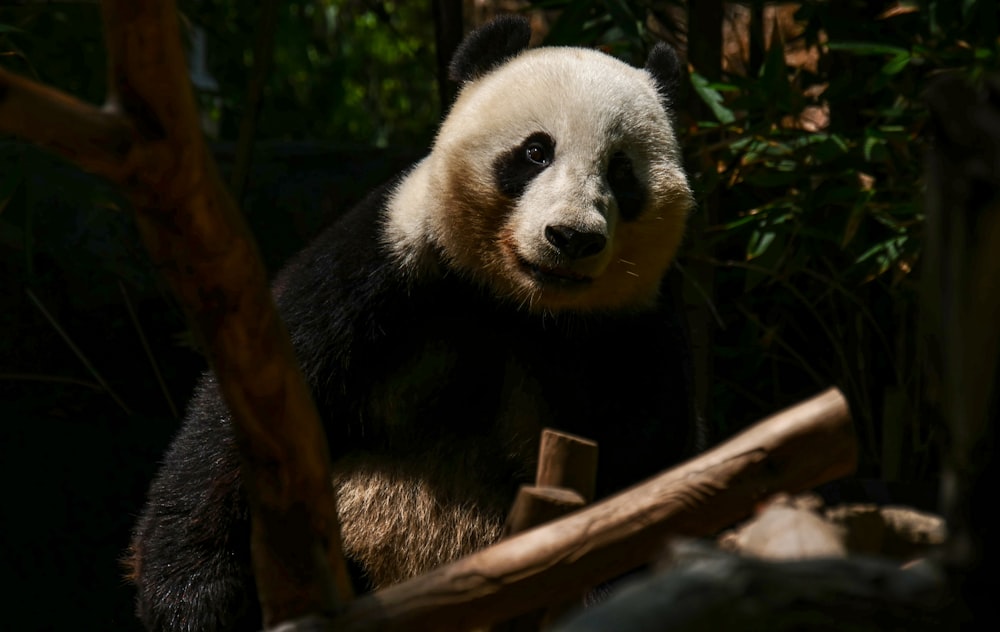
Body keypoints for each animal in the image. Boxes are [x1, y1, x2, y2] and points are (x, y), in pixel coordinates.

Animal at [127, 14, 696, 632]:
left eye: (621, 173)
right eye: (535, 152)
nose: (571, 237)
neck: (519, 303)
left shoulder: (631, 338)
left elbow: (643, 471)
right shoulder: (388, 265)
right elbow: (249, 419)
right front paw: (190, 601)